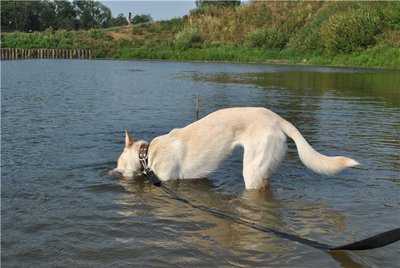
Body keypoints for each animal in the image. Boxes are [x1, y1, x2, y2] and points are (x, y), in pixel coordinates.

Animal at [109, 107, 360, 188]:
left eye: (118, 162)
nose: (110, 173)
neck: (147, 154)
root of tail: (277, 118)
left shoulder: (167, 180)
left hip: (251, 170)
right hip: (262, 169)